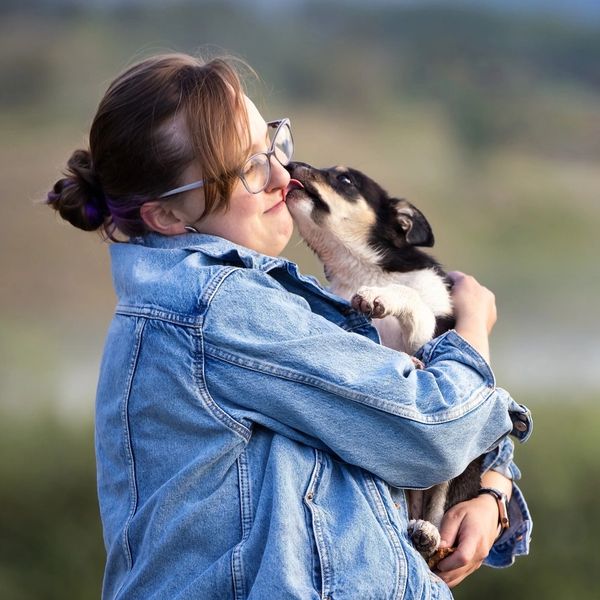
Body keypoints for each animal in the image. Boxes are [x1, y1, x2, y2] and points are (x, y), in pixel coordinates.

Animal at [284, 162, 482, 564]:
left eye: (344, 179)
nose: (291, 165)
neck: (363, 270)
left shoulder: (432, 336)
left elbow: (410, 297)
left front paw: (381, 297)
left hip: (462, 462)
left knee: (437, 511)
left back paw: (428, 533)